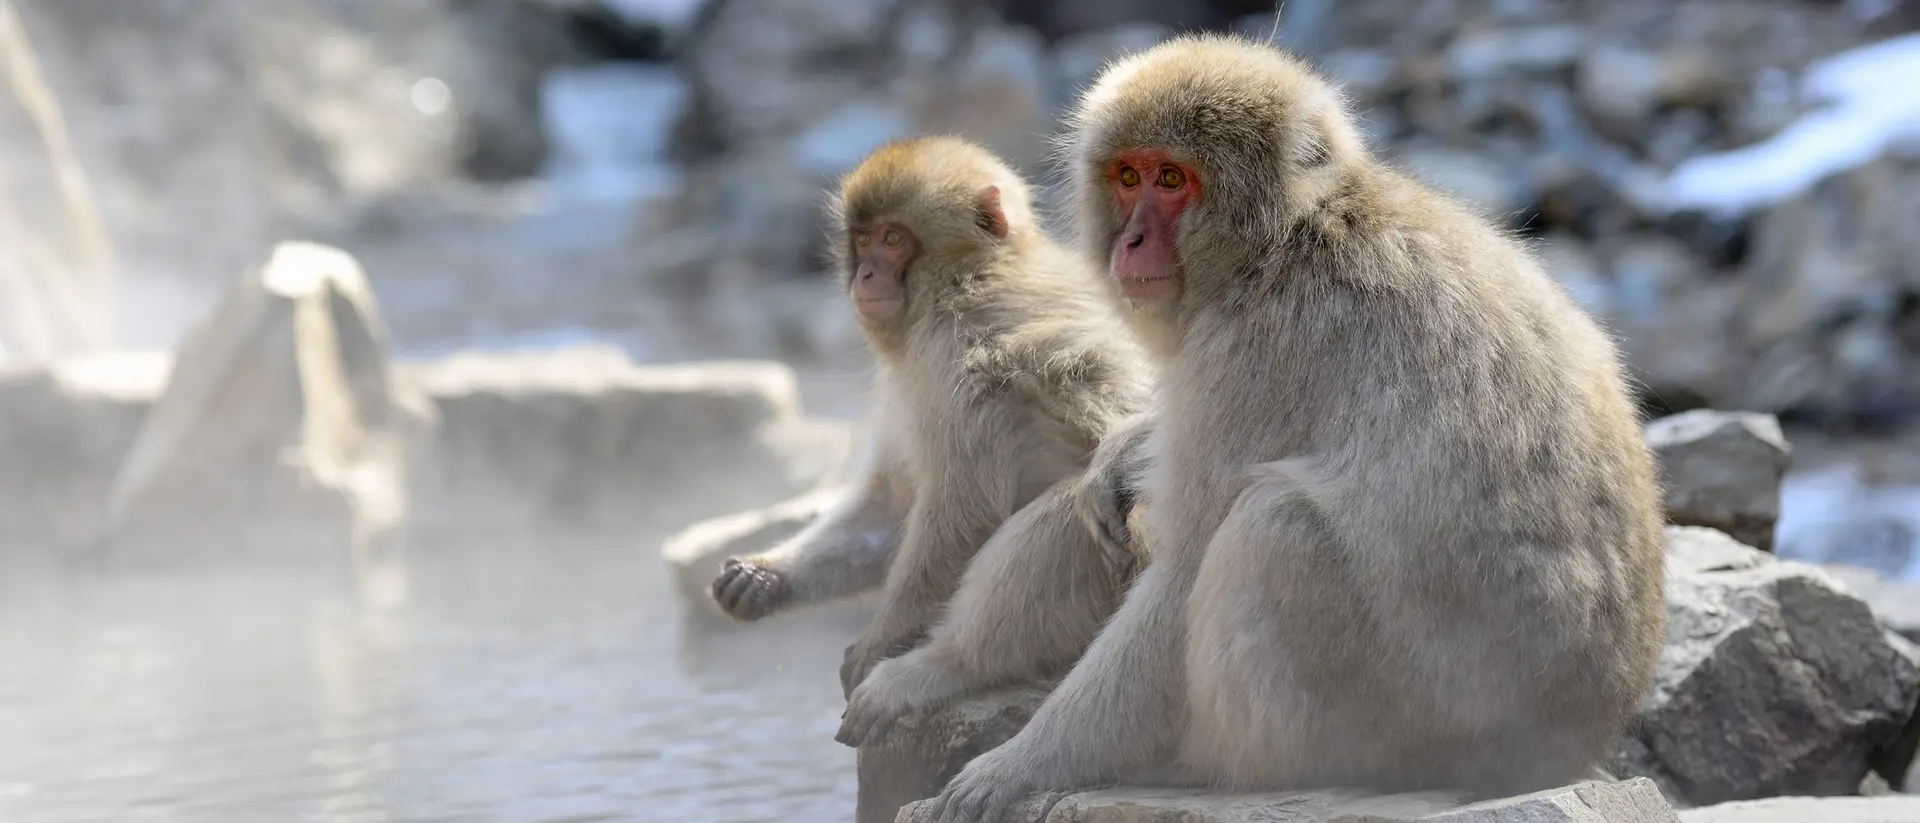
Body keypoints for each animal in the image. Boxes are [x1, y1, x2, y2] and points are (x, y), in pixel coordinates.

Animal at [707, 136, 1155, 702]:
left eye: (894, 238)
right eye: (864, 238)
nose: (866, 274)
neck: (966, 275)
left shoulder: (952, 350)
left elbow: (965, 507)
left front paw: (882, 640)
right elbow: (891, 511)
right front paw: (765, 578)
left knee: (1078, 502)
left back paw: (948, 665)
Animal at [924, 35, 1667, 823]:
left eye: (1171, 179)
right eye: (1127, 177)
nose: (1131, 241)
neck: (1289, 240)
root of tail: (1578, 737)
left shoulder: (1256, 346)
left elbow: (1184, 571)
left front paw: (1022, 764)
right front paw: (1123, 453)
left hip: (1427, 718)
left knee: (1273, 525)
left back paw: (1216, 766)